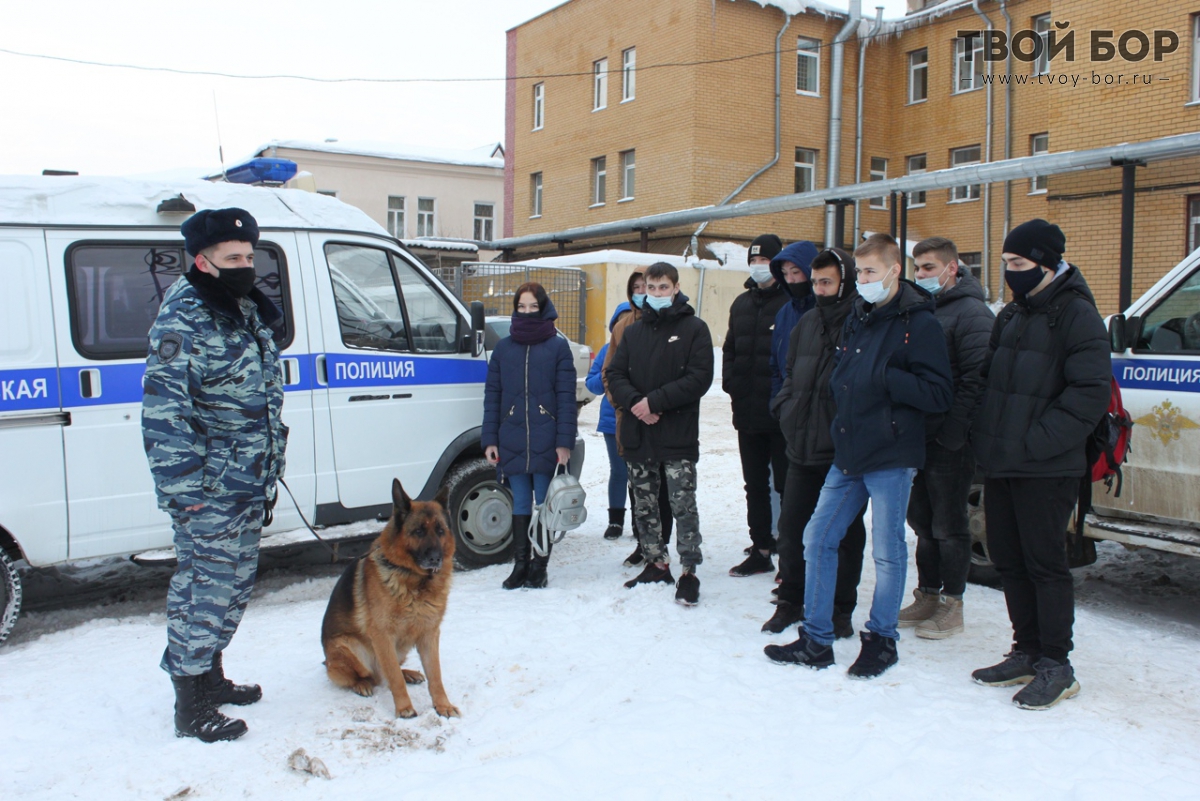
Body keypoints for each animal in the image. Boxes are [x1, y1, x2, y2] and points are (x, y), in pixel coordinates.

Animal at [319, 479, 458, 714]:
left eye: (440, 530)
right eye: (418, 531)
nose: (435, 558)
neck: (416, 581)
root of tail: (327, 660)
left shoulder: (429, 634)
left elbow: (435, 676)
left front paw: (443, 705)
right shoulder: (383, 636)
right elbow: (394, 678)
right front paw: (404, 709)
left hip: (400, 648)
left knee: (385, 672)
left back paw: (409, 673)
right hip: (348, 646)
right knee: (370, 676)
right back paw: (362, 684)